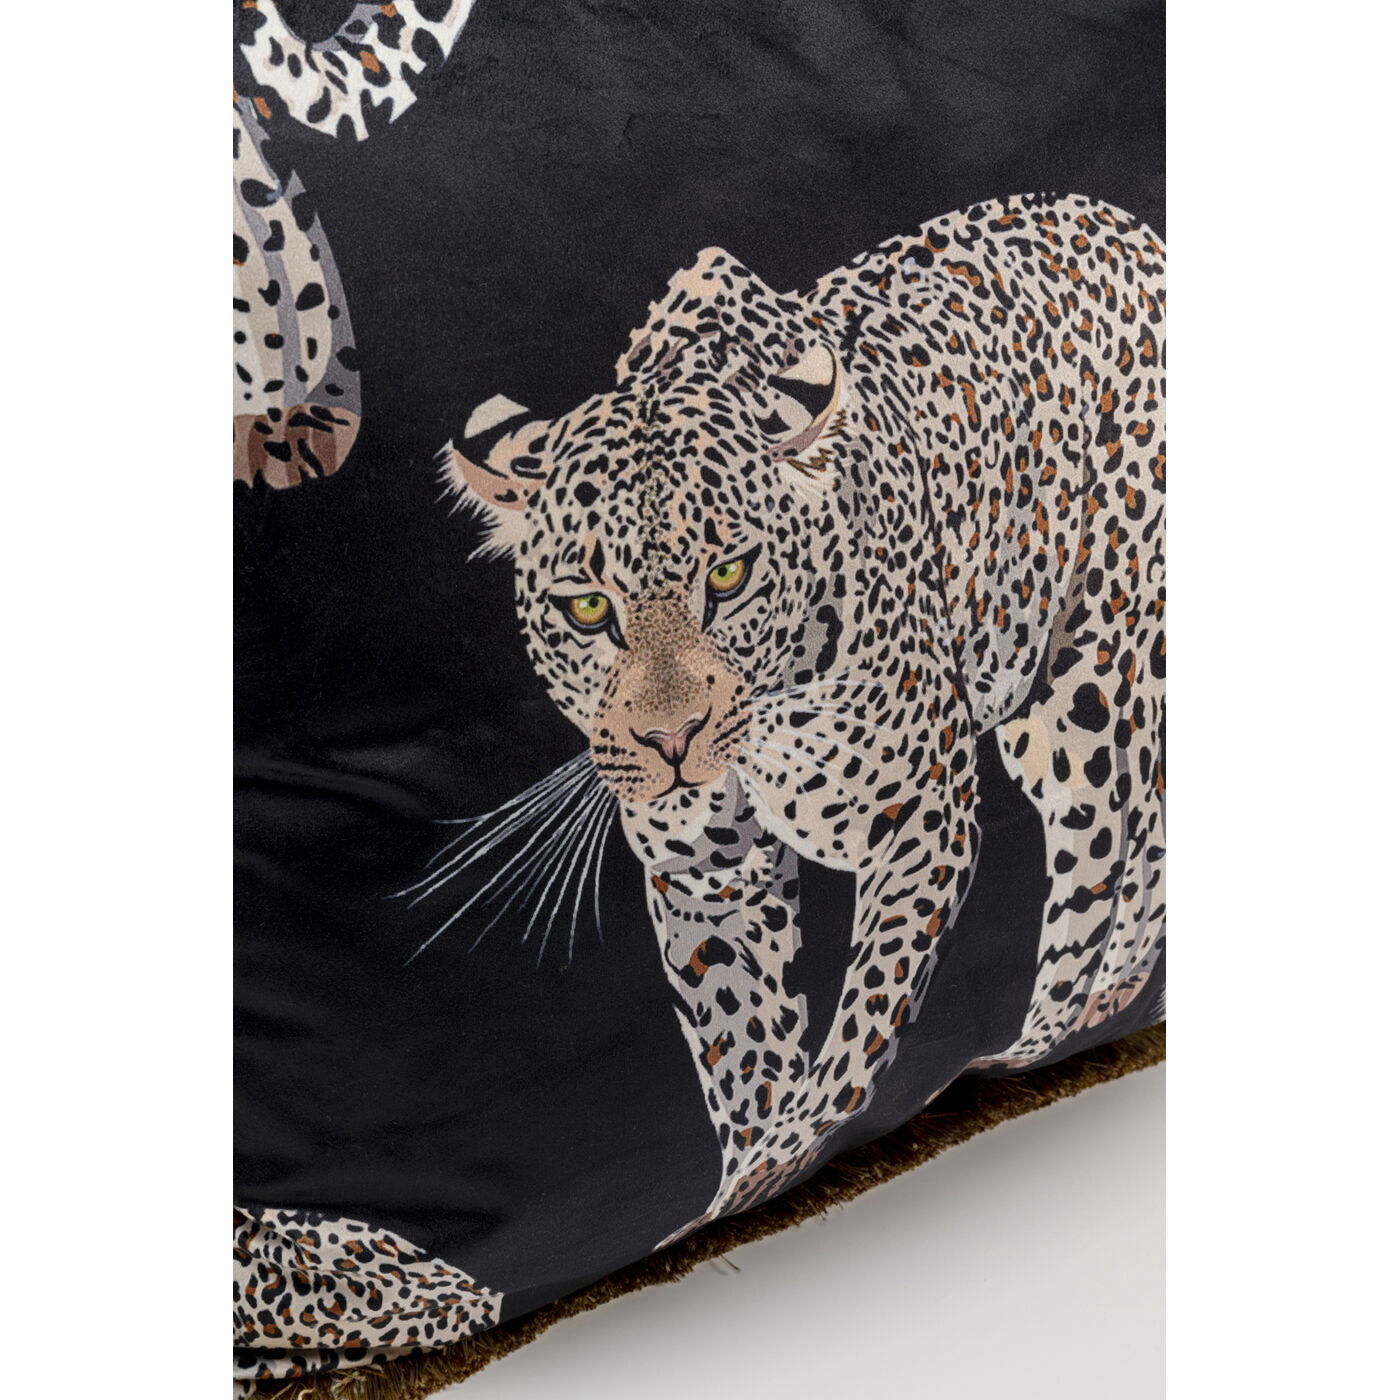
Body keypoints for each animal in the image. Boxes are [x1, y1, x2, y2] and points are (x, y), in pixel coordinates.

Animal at [438, 192, 1166, 1246]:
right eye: (588, 608)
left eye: (730, 575)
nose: (671, 744)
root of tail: (1125, 222)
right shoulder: (709, 876)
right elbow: (744, 1055)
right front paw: (745, 1187)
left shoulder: (920, 821)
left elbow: (855, 1038)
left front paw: (773, 1165)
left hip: (1090, 692)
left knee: (1110, 852)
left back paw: (1071, 1016)